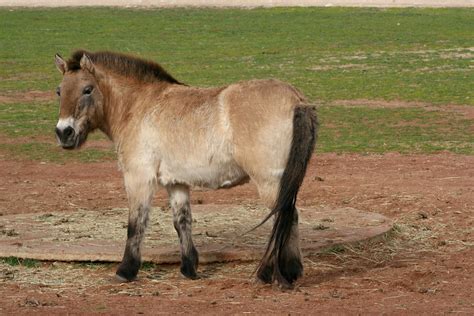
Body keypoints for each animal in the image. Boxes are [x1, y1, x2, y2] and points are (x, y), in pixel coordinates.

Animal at [53, 50, 316, 288]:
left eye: (87, 89)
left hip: (268, 182)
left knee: (284, 216)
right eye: (59, 91)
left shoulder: (139, 179)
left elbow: (136, 223)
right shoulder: (176, 183)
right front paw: (189, 268)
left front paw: (125, 270)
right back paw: (290, 272)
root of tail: (296, 100)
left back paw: (270, 275)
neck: (138, 107)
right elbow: (182, 222)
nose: (64, 133)